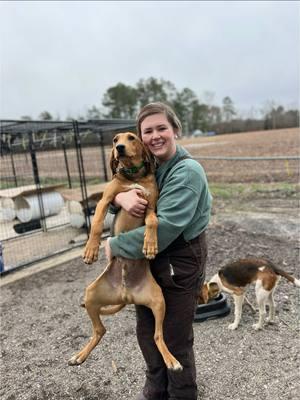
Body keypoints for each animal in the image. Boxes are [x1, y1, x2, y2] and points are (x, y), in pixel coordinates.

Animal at [69, 133, 183, 370]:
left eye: (131, 138)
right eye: (114, 140)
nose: (119, 148)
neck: (133, 176)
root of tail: (127, 294)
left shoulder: (150, 206)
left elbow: (153, 221)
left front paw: (150, 245)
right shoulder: (105, 200)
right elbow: (96, 224)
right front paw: (90, 250)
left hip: (159, 301)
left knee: (157, 336)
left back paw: (171, 360)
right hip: (91, 293)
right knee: (100, 330)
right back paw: (80, 356)